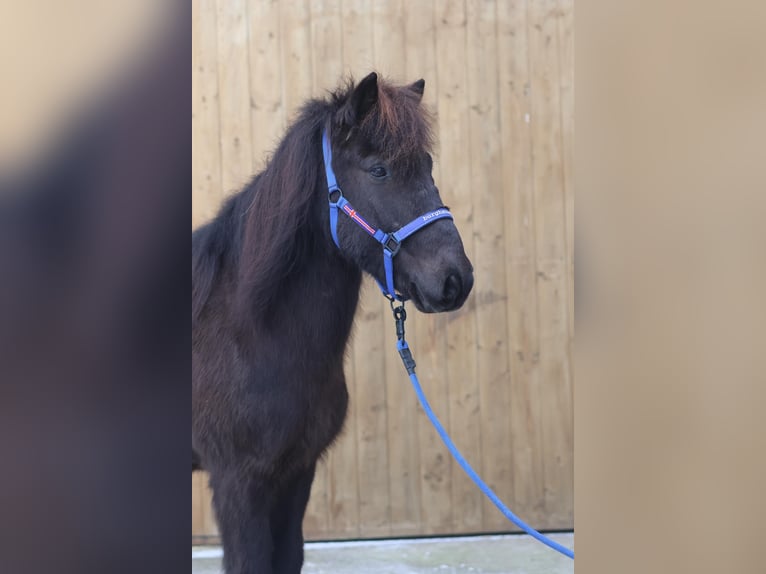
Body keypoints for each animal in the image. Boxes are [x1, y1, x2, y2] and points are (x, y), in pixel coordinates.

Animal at [194, 73, 474, 574]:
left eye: (427, 164)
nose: (455, 280)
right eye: (378, 170)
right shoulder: (237, 482)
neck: (248, 332)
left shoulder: (296, 472)